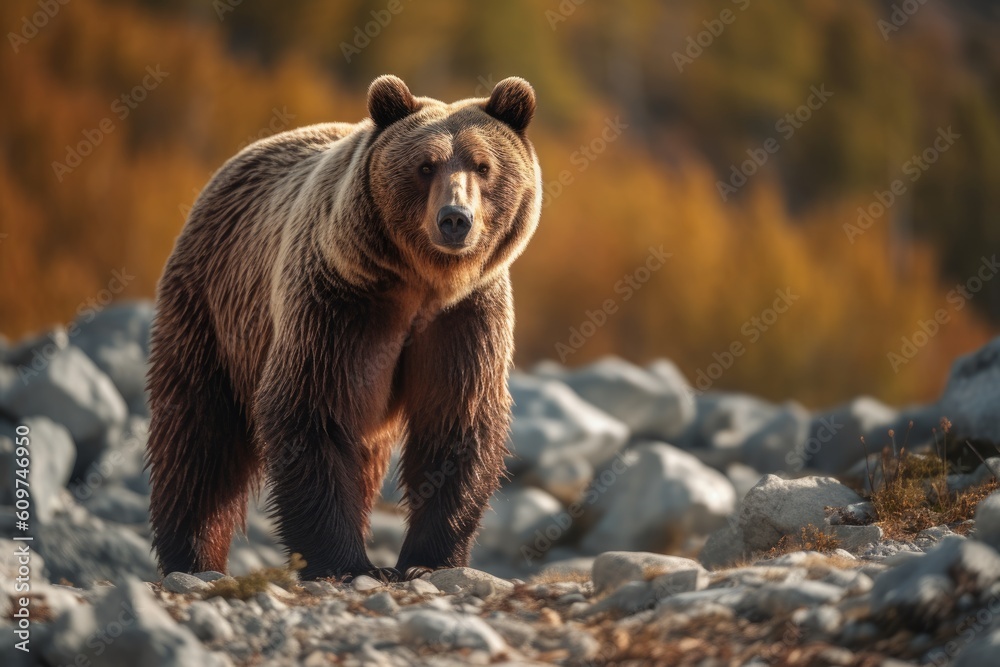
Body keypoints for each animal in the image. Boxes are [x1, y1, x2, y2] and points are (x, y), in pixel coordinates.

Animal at [145, 75, 541, 581]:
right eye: (425, 165)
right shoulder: (340, 303)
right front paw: (343, 561)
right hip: (213, 308)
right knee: (199, 434)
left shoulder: (465, 317)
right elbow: (310, 409)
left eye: (483, 165)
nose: (455, 218)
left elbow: (456, 420)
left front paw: (426, 560)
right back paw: (192, 557)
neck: (421, 283)